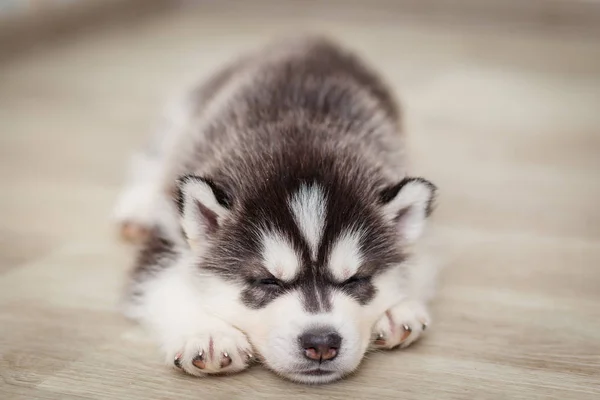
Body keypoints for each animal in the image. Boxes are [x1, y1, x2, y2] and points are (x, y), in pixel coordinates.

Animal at [115, 36, 438, 382]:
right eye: (268, 281)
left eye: (355, 280)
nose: (321, 343)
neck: (301, 140)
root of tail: (315, 41)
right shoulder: (169, 233)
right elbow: (161, 281)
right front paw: (208, 333)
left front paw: (397, 308)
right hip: (184, 116)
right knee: (156, 154)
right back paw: (138, 205)